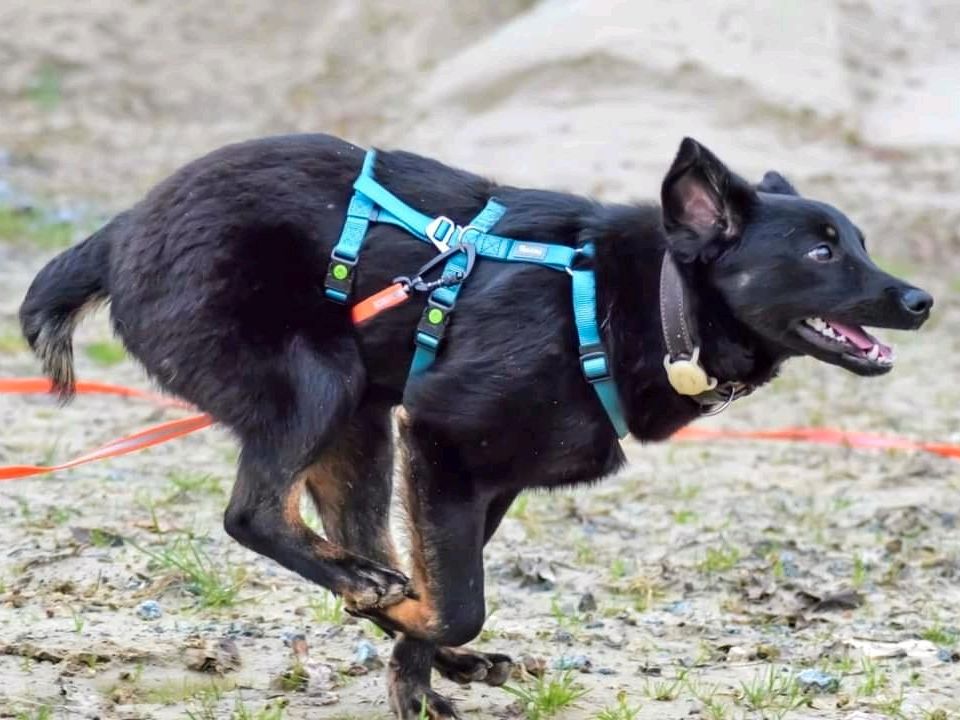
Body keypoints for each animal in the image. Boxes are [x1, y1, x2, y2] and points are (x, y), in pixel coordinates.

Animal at [16, 134, 928, 716]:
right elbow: (459, 602)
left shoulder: (480, 478)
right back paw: (361, 586)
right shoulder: (444, 444)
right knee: (254, 514)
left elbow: (450, 584)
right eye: (820, 252)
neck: (642, 301)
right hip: (320, 383)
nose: (921, 299)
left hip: (360, 421)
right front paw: (415, 650)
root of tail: (121, 232)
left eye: (857, 241)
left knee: (359, 536)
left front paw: (415, 674)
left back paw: (375, 593)